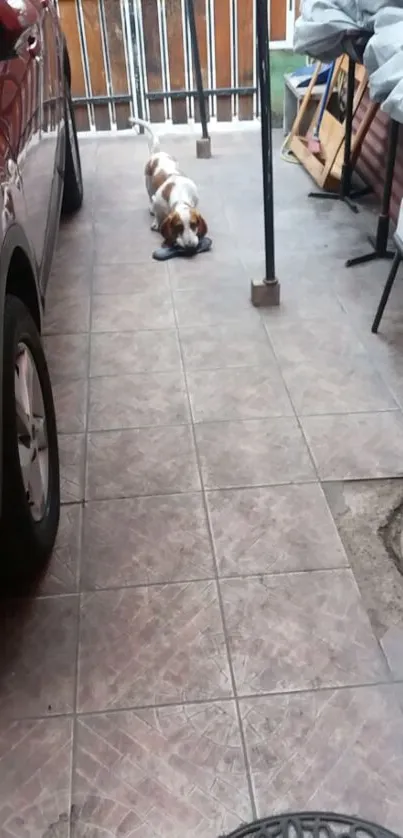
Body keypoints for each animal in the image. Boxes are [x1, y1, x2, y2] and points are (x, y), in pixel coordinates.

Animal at [130, 118, 208, 251]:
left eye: (193, 224)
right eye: (178, 227)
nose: (190, 247)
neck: (180, 195)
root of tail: (157, 153)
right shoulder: (157, 201)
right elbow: (158, 214)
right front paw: (156, 223)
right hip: (148, 183)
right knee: (150, 196)